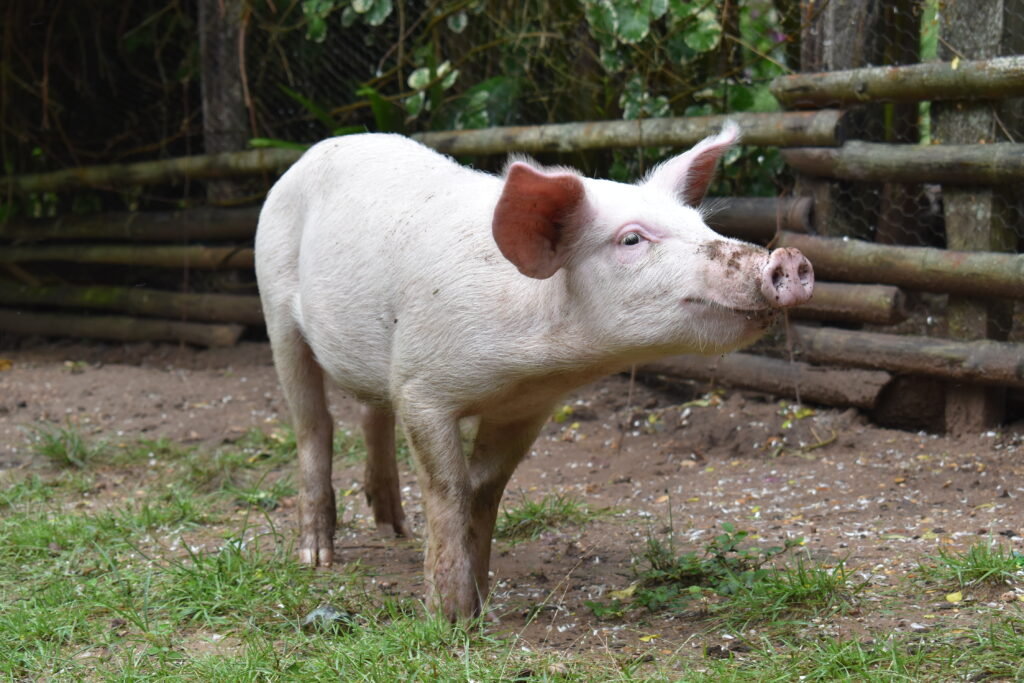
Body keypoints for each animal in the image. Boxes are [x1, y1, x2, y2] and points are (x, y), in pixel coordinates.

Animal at [256, 122, 815, 618]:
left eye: (702, 225)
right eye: (632, 240)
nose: (787, 259)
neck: (530, 366)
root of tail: (319, 149)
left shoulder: (525, 409)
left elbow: (486, 493)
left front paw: (480, 607)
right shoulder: (422, 387)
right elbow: (449, 489)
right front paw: (447, 617)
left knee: (372, 414)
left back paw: (395, 529)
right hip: (275, 304)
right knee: (314, 425)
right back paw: (317, 558)